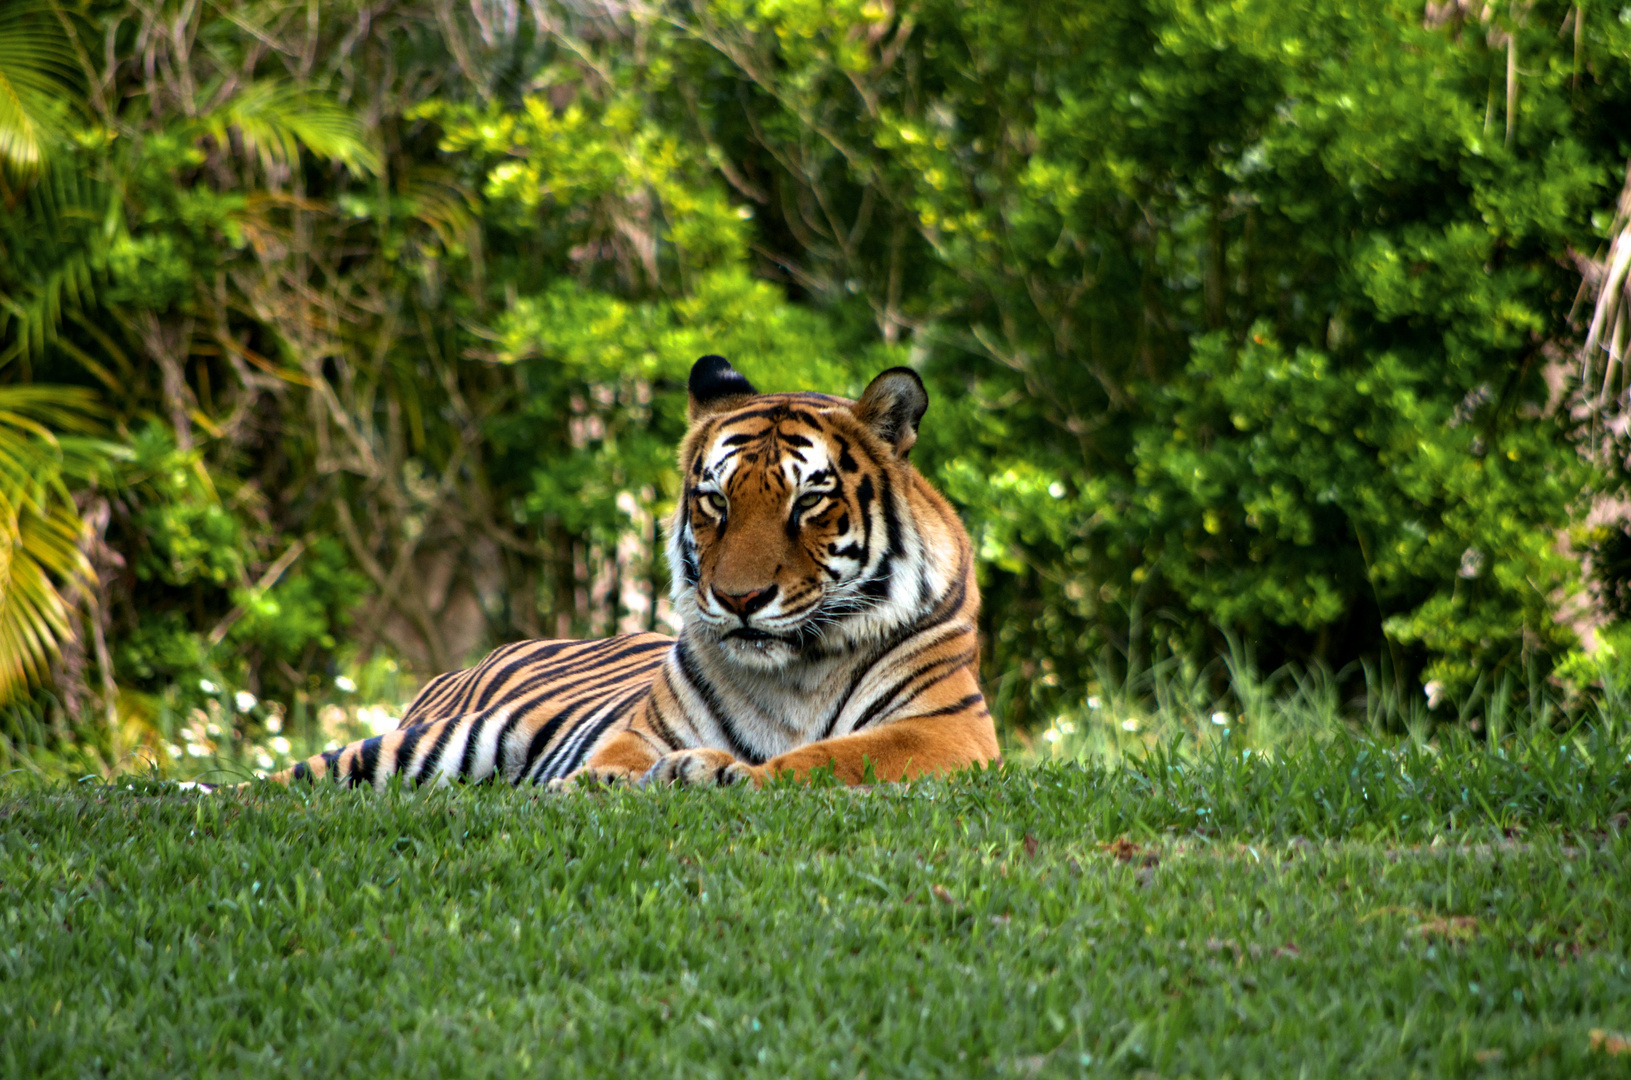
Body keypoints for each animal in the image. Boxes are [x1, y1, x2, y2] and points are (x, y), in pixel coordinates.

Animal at [270, 358, 991, 792]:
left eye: (809, 500)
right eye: (715, 501)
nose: (740, 599)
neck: (793, 670)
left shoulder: (946, 730)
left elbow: (828, 756)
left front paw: (716, 774)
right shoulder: (646, 728)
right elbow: (617, 753)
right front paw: (593, 783)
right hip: (433, 740)